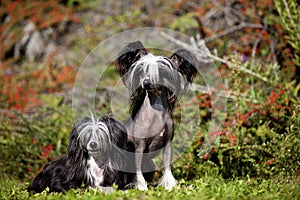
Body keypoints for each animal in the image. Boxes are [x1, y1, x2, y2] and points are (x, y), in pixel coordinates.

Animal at [115, 41, 197, 191]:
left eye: (161, 72)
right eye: (142, 71)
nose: (146, 83)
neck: (155, 116)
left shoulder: (168, 144)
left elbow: (167, 168)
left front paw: (169, 187)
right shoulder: (139, 147)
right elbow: (137, 172)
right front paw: (141, 188)